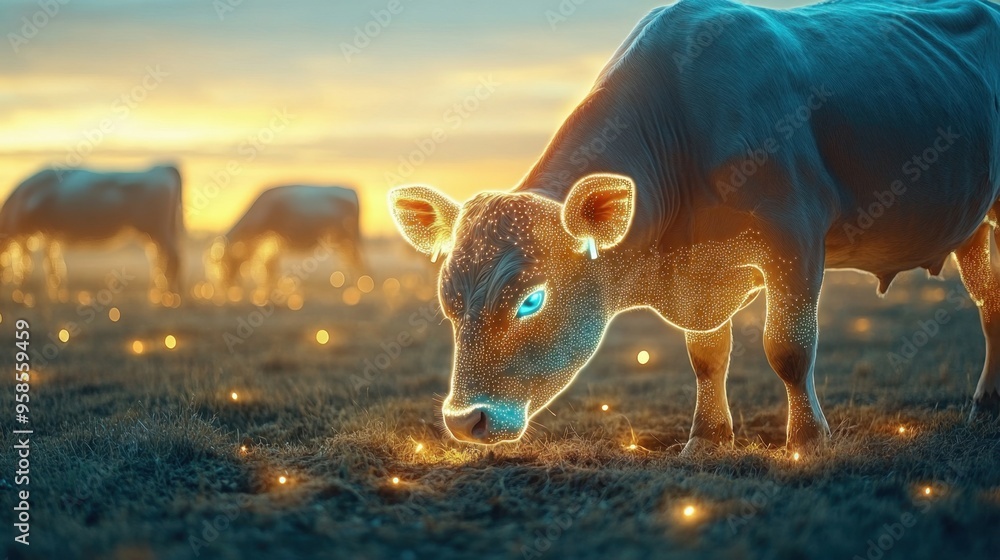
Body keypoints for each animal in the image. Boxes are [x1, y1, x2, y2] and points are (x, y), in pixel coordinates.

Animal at [0, 164, 184, 306]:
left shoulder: (29, 234)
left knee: (172, 258)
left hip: (158, 229)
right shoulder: (49, 235)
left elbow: (27, 264)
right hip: (159, 232)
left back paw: (169, 296)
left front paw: (22, 294)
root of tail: (161, 168)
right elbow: (52, 263)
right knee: (161, 259)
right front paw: (56, 293)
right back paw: (159, 293)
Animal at [206, 185, 366, 302]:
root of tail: (349, 192)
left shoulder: (275, 239)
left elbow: (268, 267)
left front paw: (264, 295)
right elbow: (266, 267)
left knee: (355, 261)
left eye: (224, 263)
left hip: (347, 238)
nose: (226, 286)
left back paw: (357, 291)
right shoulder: (272, 240)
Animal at [388, 0, 1000, 452]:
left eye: (530, 301)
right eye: (448, 301)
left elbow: (789, 348)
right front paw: (706, 439)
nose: (463, 421)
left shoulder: (797, 236)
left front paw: (808, 439)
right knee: (990, 305)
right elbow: (706, 358)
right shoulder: (700, 271)